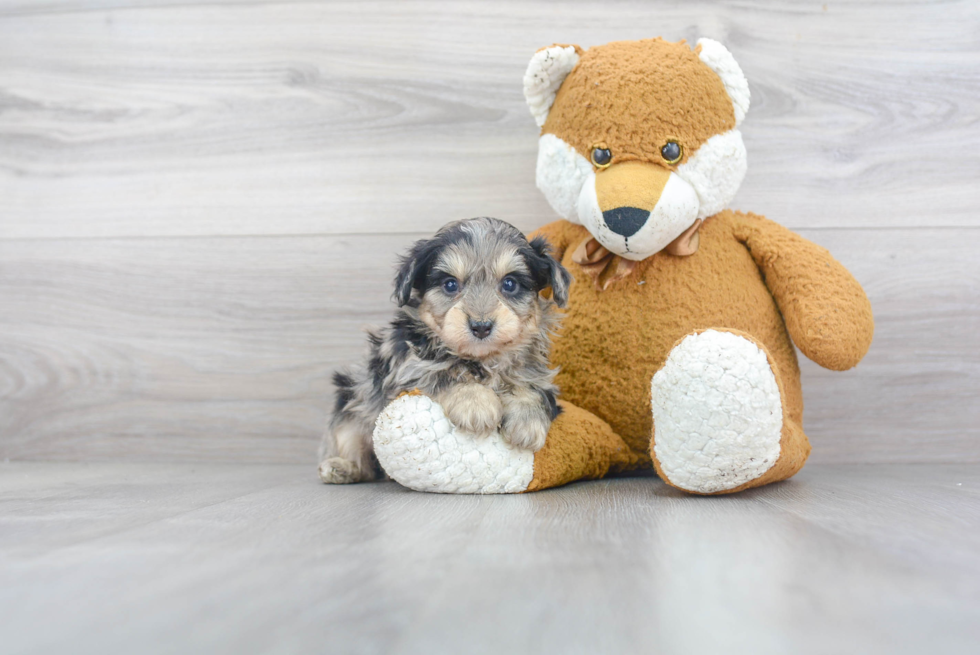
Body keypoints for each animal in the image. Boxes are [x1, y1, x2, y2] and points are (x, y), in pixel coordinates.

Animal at [318, 218, 572, 484]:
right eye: (450, 285)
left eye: (510, 284)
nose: (481, 326)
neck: (482, 359)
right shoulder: (405, 368)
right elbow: (443, 372)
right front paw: (476, 403)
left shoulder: (537, 373)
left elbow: (532, 388)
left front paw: (527, 421)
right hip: (352, 398)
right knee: (360, 453)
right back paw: (341, 467)